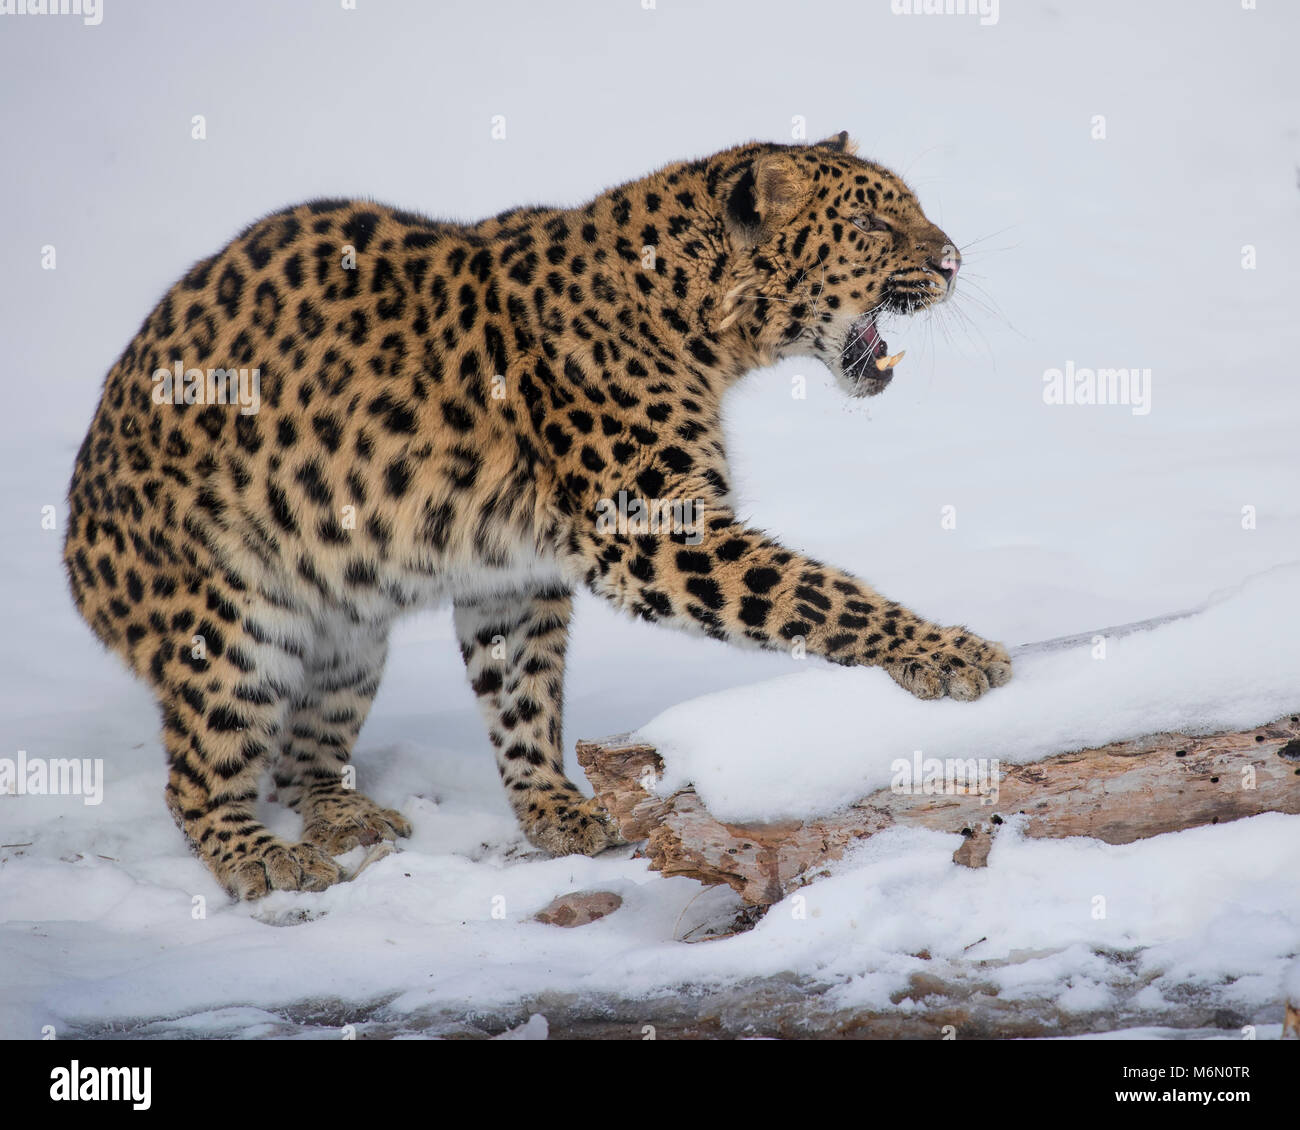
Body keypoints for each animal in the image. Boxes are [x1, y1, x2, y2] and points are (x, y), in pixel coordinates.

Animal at [63, 131, 1012, 900]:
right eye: (876, 224)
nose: (955, 260)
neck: (695, 320)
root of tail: (73, 535)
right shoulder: (655, 530)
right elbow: (816, 594)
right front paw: (950, 653)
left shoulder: (513, 575)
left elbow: (523, 693)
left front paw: (554, 807)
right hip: (226, 623)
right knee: (198, 776)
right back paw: (262, 860)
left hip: (347, 634)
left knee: (303, 756)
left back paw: (342, 814)